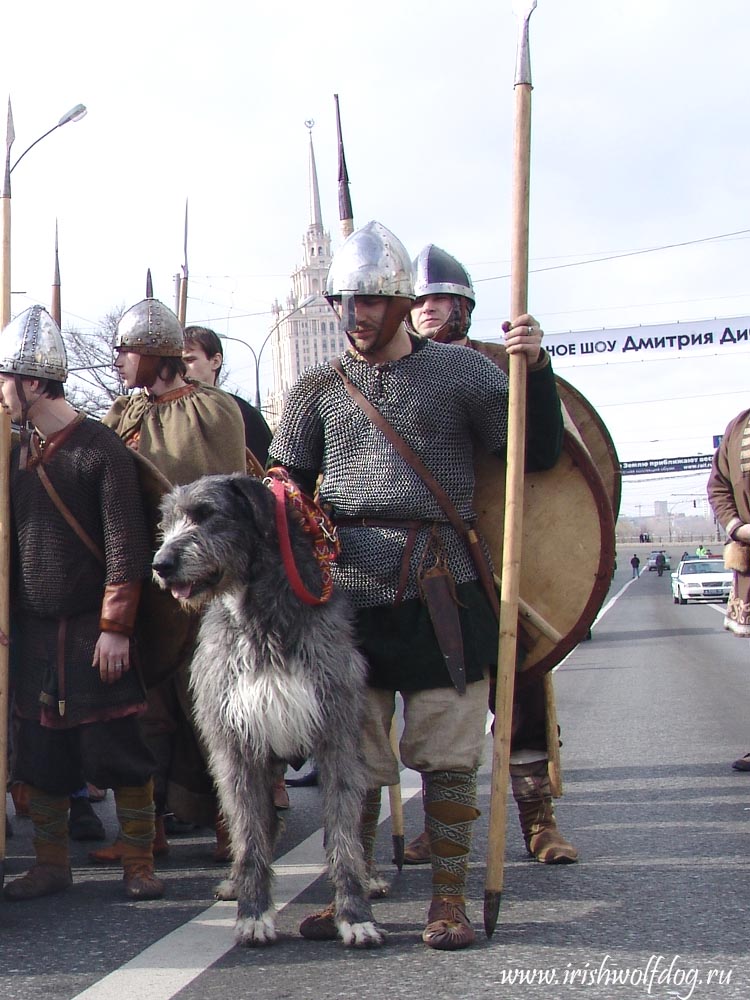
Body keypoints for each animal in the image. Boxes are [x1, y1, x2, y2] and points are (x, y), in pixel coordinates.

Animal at [153, 472, 388, 948]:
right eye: (165, 523)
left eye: (206, 514)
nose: (160, 564)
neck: (257, 616)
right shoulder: (235, 746)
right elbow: (249, 836)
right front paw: (253, 912)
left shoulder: (336, 737)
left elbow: (343, 836)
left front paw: (354, 915)